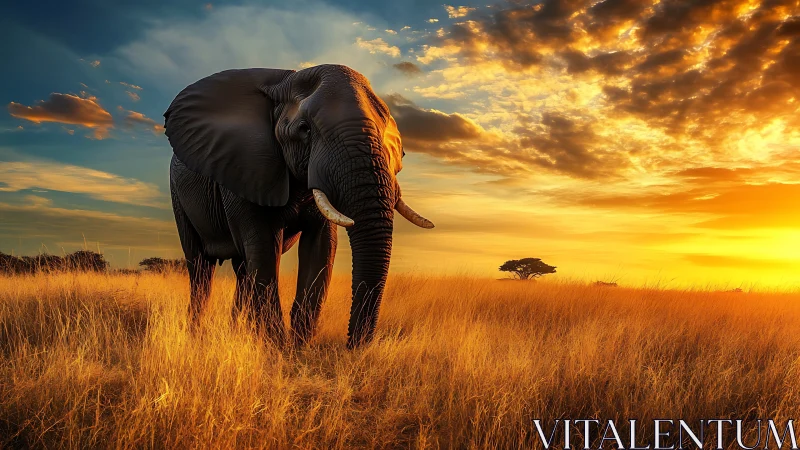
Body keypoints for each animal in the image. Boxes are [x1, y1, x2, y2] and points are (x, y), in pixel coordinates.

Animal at [163, 64, 434, 349]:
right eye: (305, 130)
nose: (351, 346)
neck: (283, 81)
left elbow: (321, 248)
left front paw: (298, 348)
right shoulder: (243, 167)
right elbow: (264, 249)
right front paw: (278, 349)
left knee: (242, 269)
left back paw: (237, 333)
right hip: (177, 194)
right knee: (201, 269)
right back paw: (198, 337)